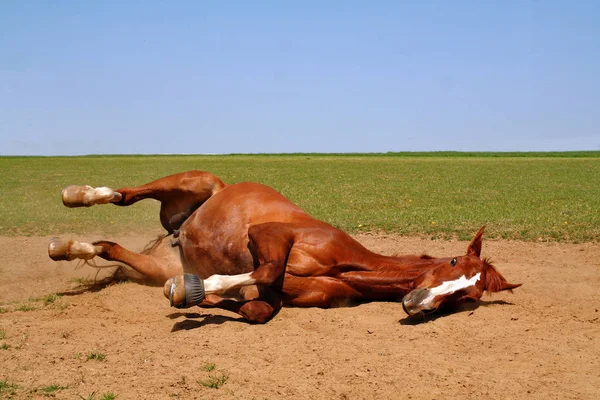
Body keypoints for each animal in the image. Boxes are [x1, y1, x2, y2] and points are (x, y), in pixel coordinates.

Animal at [49, 170, 520, 324]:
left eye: (468, 296)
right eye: (453, 262)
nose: (419, 303)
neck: (349, 264)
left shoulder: (271, 299)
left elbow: (254, 308)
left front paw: (199, 295)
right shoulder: (269, 236)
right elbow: (268, 268)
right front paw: (201, 288)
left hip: (161, 262)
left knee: (109, 247)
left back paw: (66, 246)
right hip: (194, 181)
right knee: (124, 195)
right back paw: (75, 196)